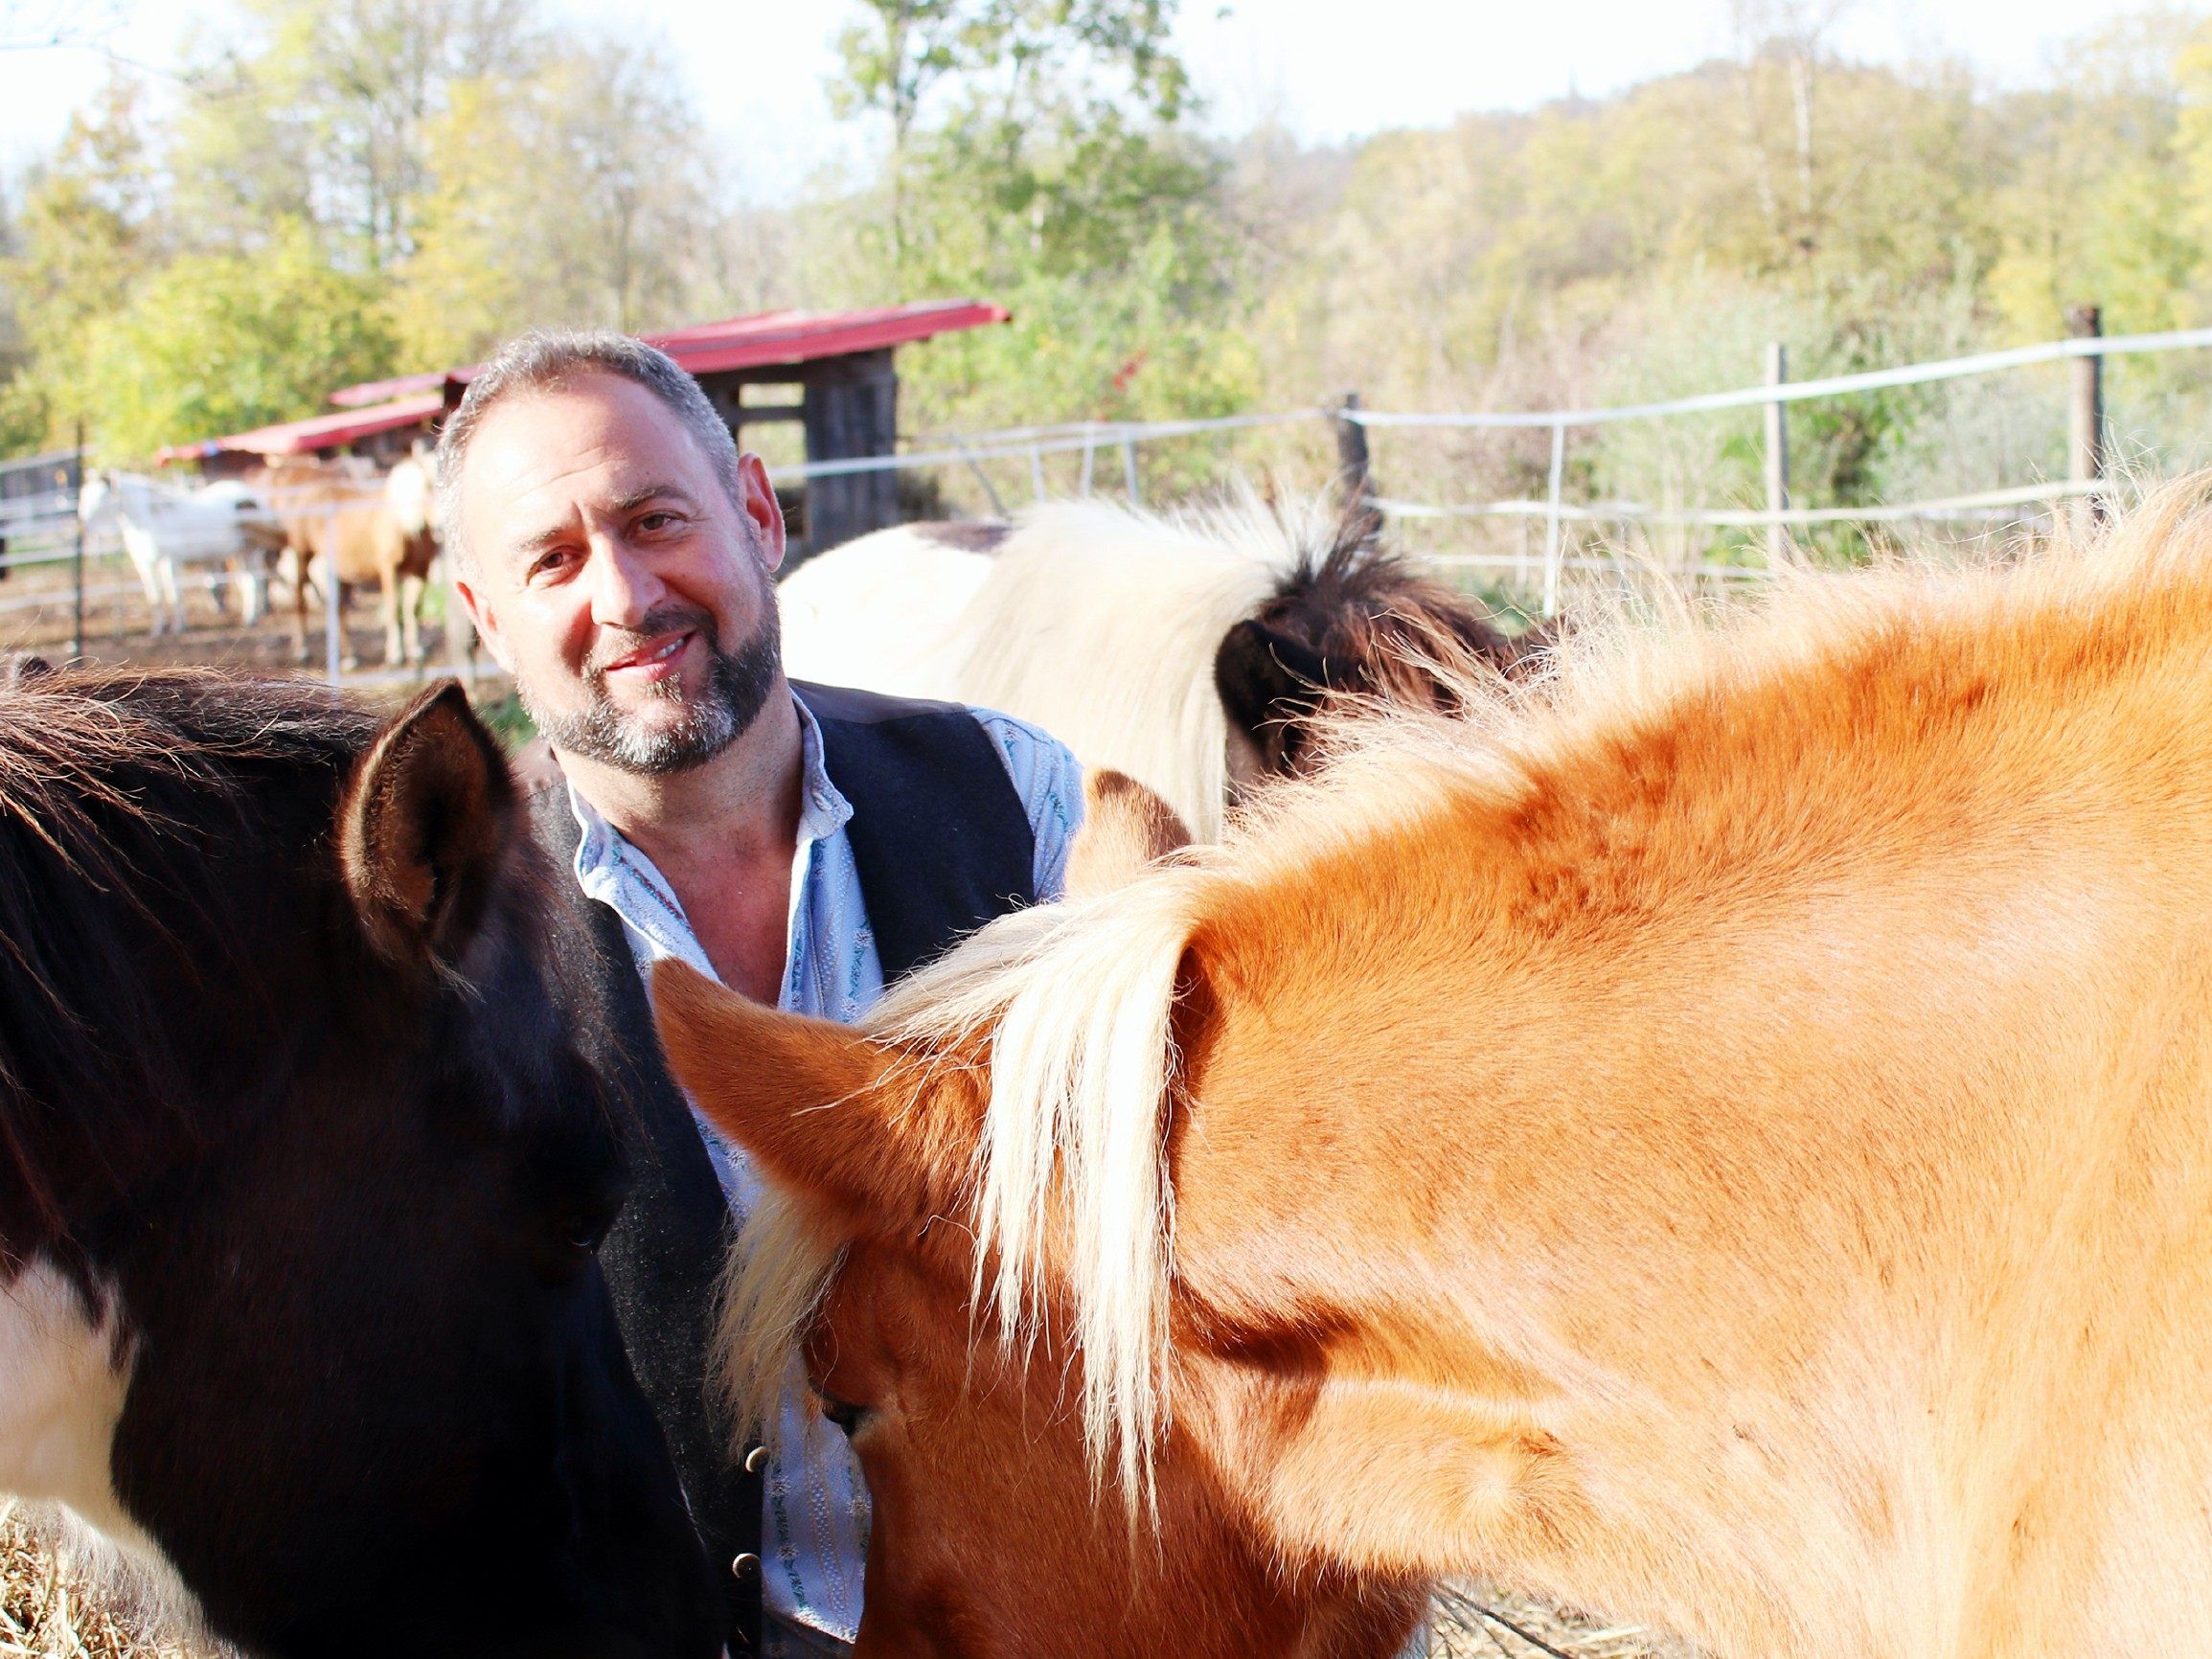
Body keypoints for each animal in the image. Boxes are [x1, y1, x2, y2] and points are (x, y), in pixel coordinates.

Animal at [80, 477, 285, 646]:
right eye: (84, 496)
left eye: (101, 498)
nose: (82, 523)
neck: (151, 517)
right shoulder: (145, 564)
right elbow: (155, 597)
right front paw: (157, 630)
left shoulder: (170, 561)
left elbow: (174, 594)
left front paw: (179, 628)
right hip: (239, 554)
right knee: (247, 581)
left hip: (252, 552)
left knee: (255, 582)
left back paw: (251, 618)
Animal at [254, 458, 440, 672]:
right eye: (430, 486)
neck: (404, 525)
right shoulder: (389, 570)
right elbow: (394, 610)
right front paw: (395, 655)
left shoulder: (420, 571)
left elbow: (414, 610)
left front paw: (416, 651)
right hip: (302, 556)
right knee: (301, 600)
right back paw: (303, 651)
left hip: (338, 570)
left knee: (339, 610)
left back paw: (349, 656)